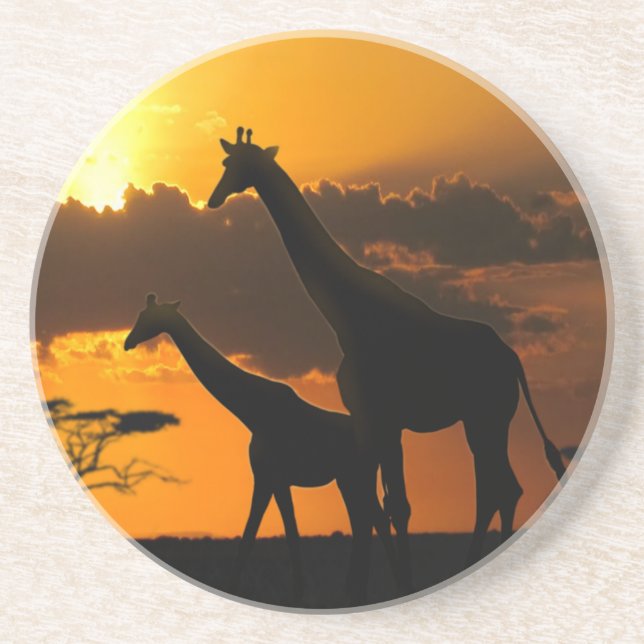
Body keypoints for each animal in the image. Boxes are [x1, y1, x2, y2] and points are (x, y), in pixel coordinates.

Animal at [124, 293, 399, 605]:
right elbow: (261, 533)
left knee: (373, 522)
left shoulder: (273, 477)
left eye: (147, 318)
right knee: (367, 522)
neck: (253, 412)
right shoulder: (268, 479)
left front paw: (294, 596)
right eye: (140, 315)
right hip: (349, 479)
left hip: (356, 477)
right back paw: (359, 592)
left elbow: (275, 533)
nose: (128, 342)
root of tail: (381, 440)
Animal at [207, 127, 566, 600]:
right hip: (486, 420)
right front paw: (368, 589)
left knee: (499, 488)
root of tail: (513, 359)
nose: (213, 199)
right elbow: (381, 504)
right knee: (501, 488)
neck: (347, 314)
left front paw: (379, 588)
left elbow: (387, 505)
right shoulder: (373, 420)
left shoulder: (383, 417)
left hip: (485, 418)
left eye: (233, 165)